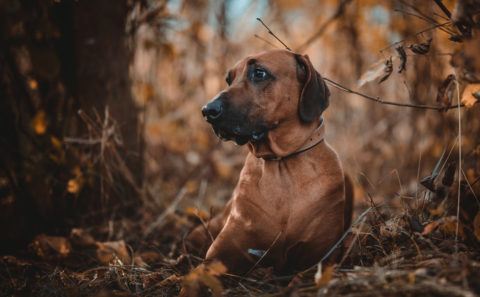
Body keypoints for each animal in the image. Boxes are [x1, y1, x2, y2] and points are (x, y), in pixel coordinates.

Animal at [189, 48, 354, 272]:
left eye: (259, 73)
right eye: (229, 79)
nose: (207, 110)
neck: (282, 163)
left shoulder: (321, 257)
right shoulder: (217, 257)